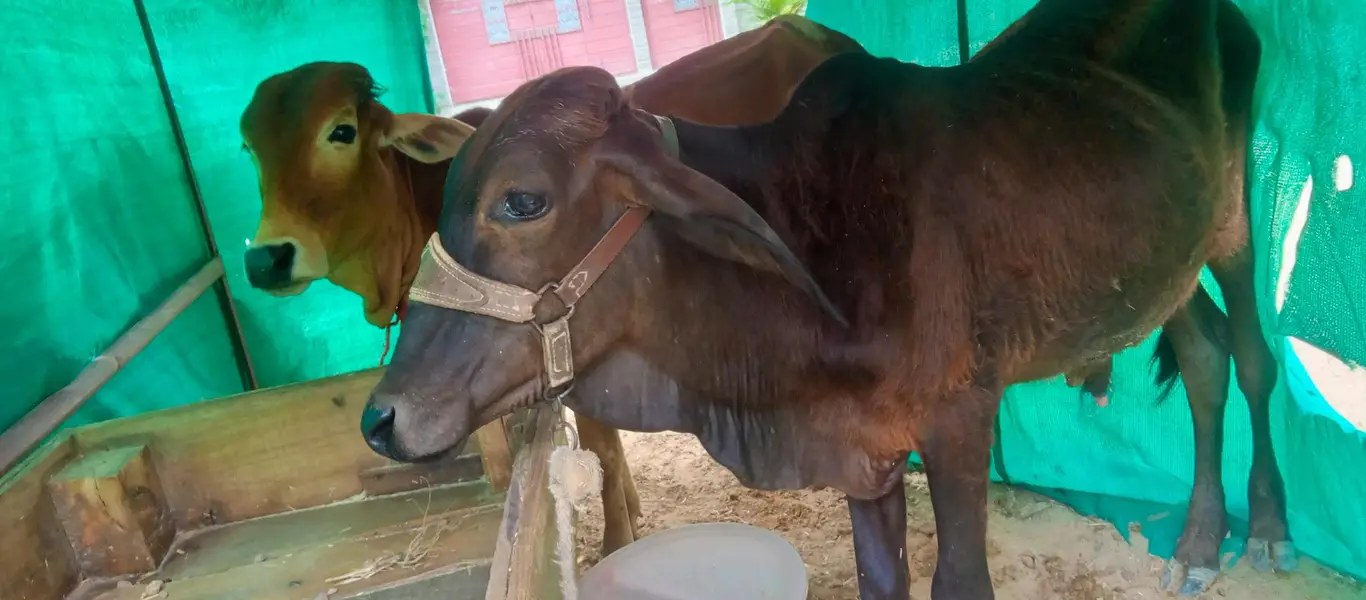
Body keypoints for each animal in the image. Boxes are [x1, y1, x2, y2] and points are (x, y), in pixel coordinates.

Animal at [360, 0, 1284, 598]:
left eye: (521, 201)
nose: (381, 417)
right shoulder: (864, 453)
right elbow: (883, 582)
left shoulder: (959, 422)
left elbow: (960, 581)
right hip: (1161, 261)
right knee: (1203, 355)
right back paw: (1200, 537)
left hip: (1234, 224)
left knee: (1252, 357)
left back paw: (1266, 527)